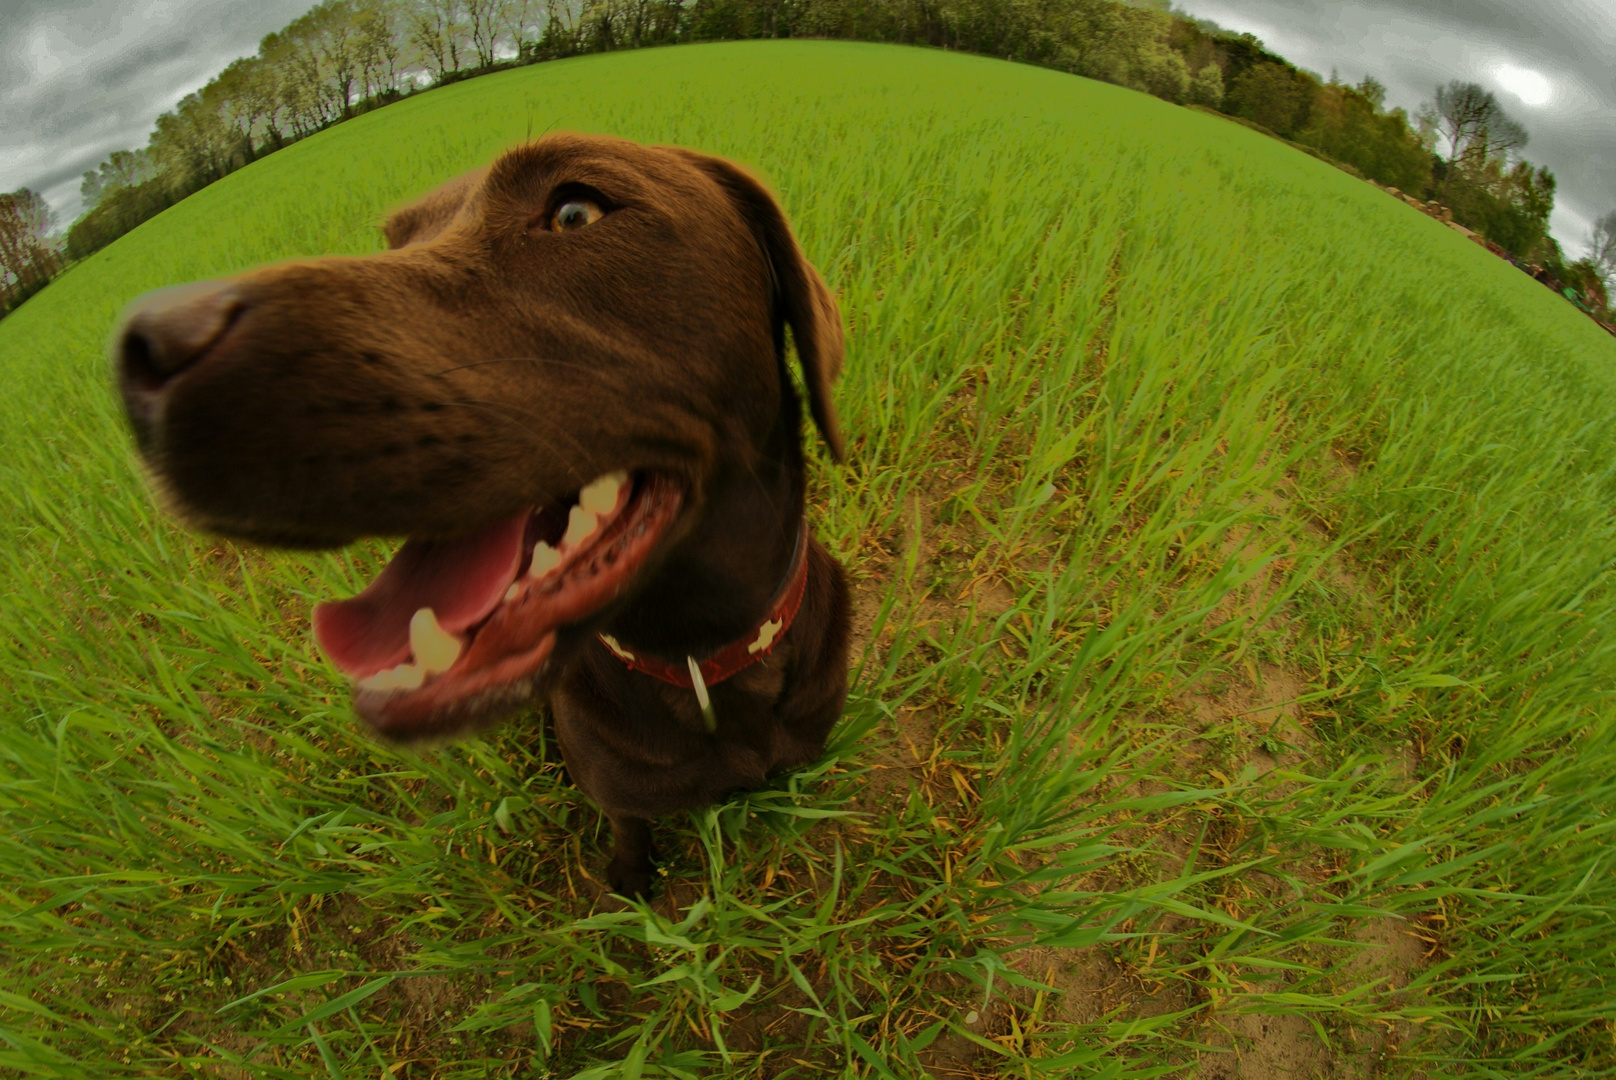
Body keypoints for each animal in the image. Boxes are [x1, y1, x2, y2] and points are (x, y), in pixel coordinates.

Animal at [110, 135, 859, 892]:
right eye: (395, 241)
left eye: (575, 213)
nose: (143, 348)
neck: (702, 659)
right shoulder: (618, 793)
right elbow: (629, 825)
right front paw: (630, 880)